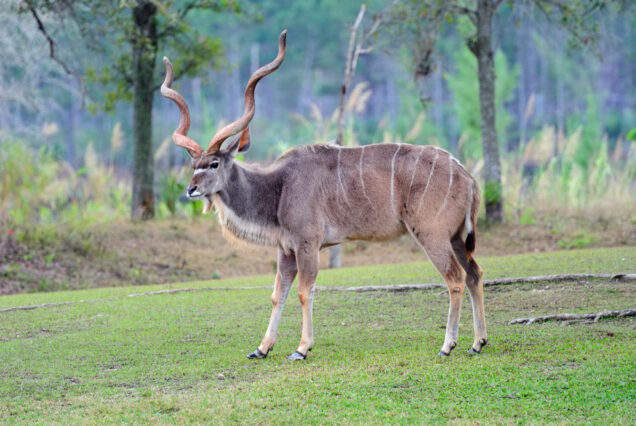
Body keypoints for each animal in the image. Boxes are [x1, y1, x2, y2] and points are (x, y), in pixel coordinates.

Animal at [160, 30, 487, 360]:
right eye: (194, 165)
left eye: (214, 163)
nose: (190, 189)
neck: (278, 186)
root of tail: (468, 176)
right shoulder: (286, 249)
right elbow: (278, 294)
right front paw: (262, 348)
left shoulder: (308, 243)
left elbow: (305, 291)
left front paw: (302, 348)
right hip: (456, 237)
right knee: (475, 273)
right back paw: (477, 342)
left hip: (432, 235)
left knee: (455, 278)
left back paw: (448, 345)